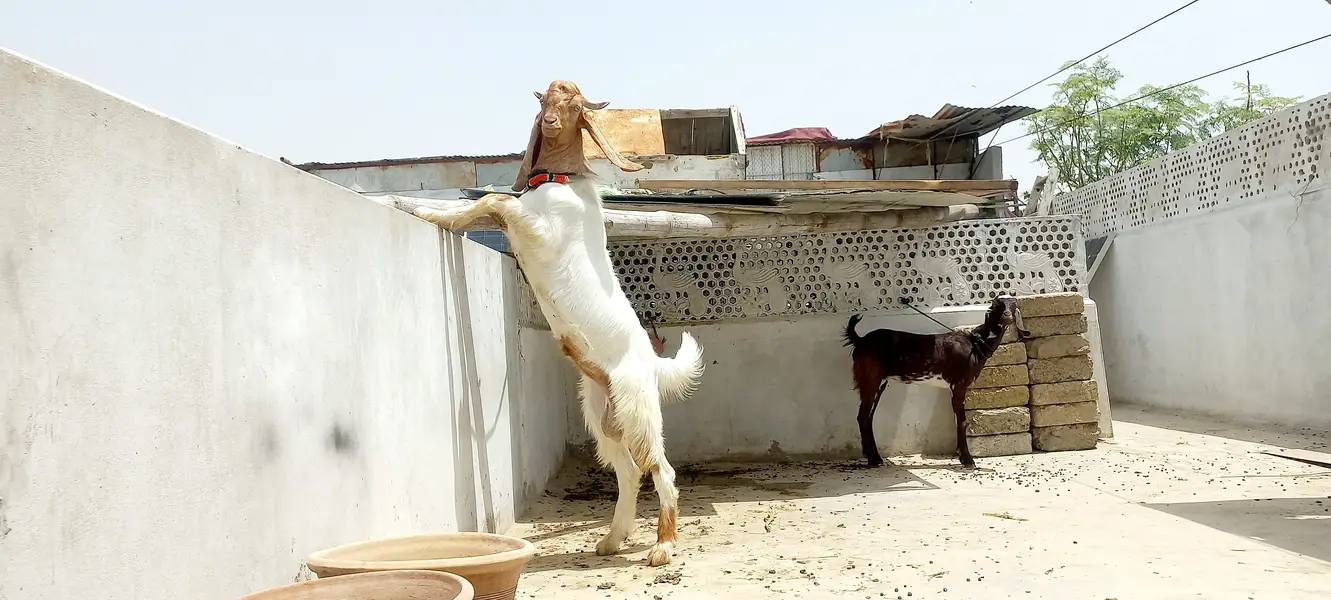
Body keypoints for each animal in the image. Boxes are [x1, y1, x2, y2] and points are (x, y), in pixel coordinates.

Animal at [413, 80, 705, 567]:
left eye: (573, 105)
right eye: (545, 101)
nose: (549, 122)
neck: (558, 182)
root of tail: (651, 361)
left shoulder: (537, 230)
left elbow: (493, 201)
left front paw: (435, 215)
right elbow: (489, 205)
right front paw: (431, 215)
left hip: (639, 410)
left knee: (660, 470)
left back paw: (662, 546)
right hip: (602, 417)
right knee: (629, 472)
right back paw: (612, 539)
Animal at [841, 296, 1029, 469]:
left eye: (1014, 305)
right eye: (997, 305)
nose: (1007, 315)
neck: (975, 344)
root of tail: (860, 340)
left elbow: (957, 420)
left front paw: (961, 455)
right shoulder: (959, 384)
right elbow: (962, 421)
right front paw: (968, 460)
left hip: (880, 383)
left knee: (868, 416)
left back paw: (875, 458)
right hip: (871, 379)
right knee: (863, 416)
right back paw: (873, 460)